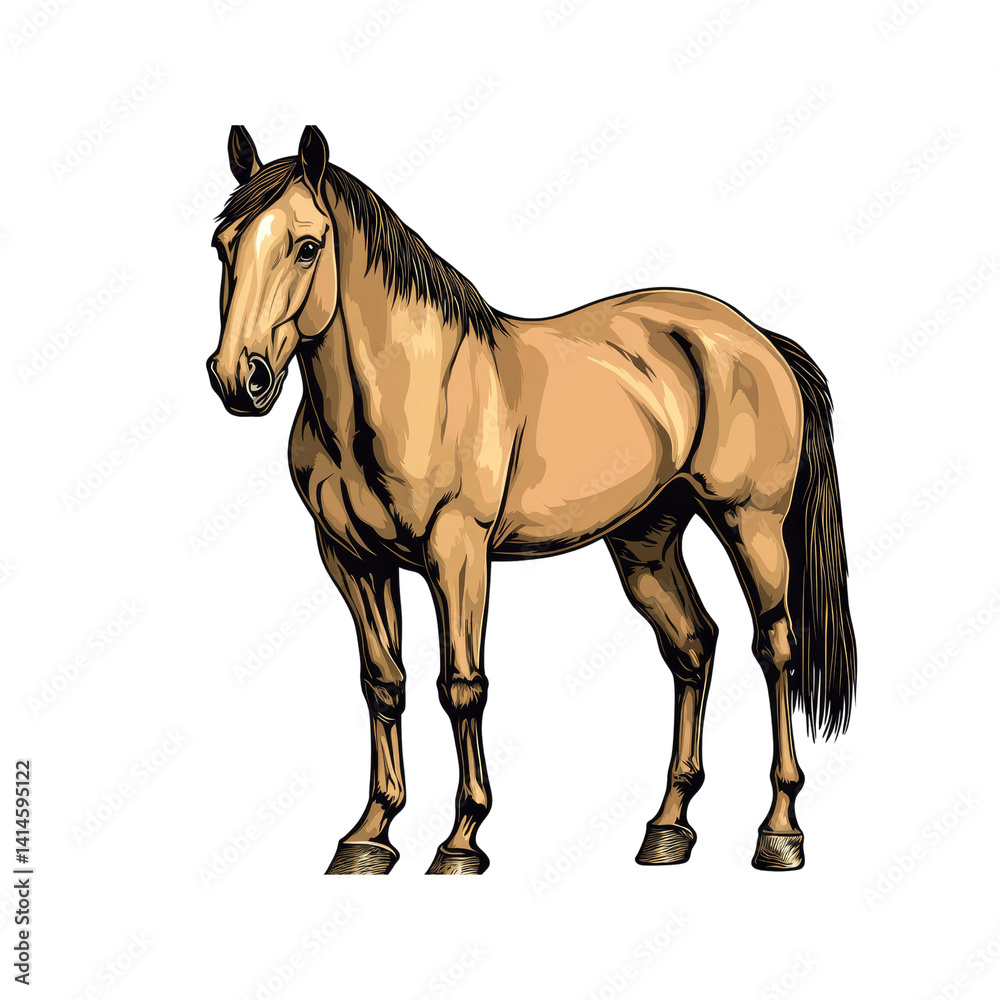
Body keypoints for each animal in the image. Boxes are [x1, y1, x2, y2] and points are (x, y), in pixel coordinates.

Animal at [207, 125, 856, 875]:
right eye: (223, 244)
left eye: (307, 245)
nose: (239, 377)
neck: (402, 390)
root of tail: (756, 337)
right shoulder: (352, 559)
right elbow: (383, 683)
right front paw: (369, 835)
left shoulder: (457, 552)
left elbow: (461, 685)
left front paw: (462, 840)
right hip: (647, 539)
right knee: (693, 645)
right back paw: (667, 829)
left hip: (752, 524)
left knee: (774, 648)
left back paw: (779, 831)